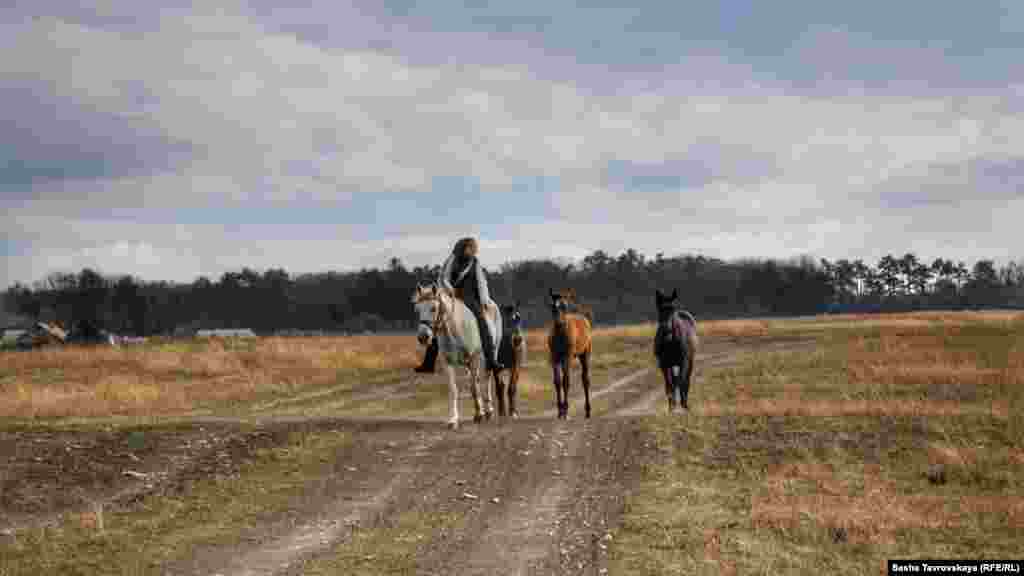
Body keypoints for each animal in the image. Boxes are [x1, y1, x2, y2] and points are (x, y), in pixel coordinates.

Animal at [409, 280, 501, 428]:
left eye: (433, 308)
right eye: (417, 310)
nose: (423, 337)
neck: (455, 330)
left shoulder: (474, 358)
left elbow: (474, 387)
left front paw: (479, 414)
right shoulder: (448, 362)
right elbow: (454, 390)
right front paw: (453, 420)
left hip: (489, 355)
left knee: (486, 378)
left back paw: (488, 411)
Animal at [544, 286, 593, 416]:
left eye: (564, 306)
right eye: (552, 306)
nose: (559, 322)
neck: (560, 335)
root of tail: (584, 318)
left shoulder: (568, 356)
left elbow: (566, 381)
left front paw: (565, 410)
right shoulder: (554, 357)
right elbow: (557, 381)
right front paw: (560, 410)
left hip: (585, 354)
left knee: (585, 379)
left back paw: (588, 410)